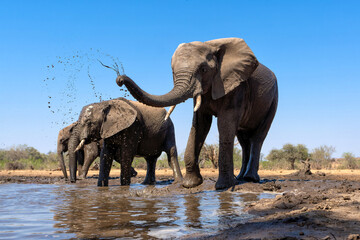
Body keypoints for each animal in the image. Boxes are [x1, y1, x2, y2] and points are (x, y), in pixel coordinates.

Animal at [115, 38, 278, 189]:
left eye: (204, 70)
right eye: (173, 72)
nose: (119, 79)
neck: (212, 45)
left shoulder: (236, 86)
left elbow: (224, 124)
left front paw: (223, 187)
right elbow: (199, 124)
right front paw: (190, 184)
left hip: (273, 100)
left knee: (258, 137)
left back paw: (250, 178)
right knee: (243, 140)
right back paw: (241, 178)